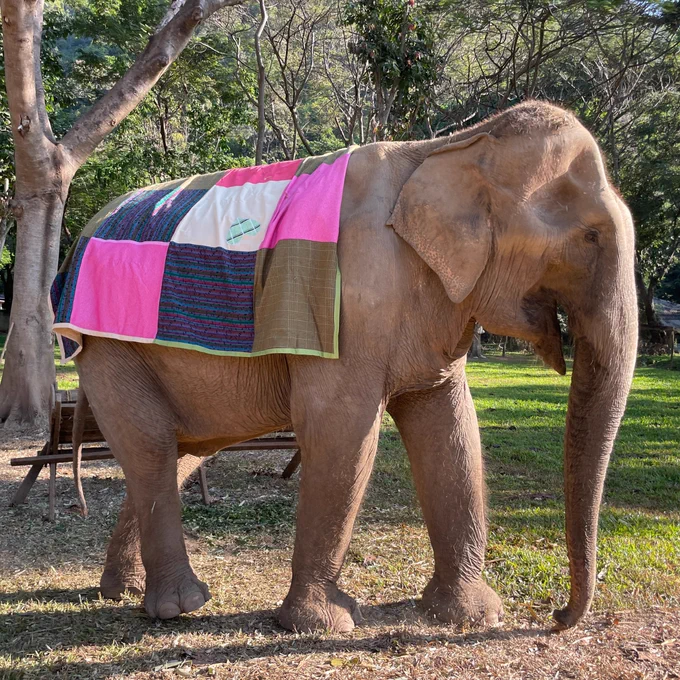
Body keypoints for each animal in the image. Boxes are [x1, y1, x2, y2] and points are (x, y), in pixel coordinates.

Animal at [70, 101, 637, 632]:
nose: (559, 617)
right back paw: (180, 607)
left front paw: (471, 617)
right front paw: (322, 625)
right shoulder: (349, 304)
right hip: (108, 348)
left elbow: (450, 426)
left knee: (180, 450)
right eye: (590, 237)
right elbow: (341, 428)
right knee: (152, 447)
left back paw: (123, 592)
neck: (451, 147)